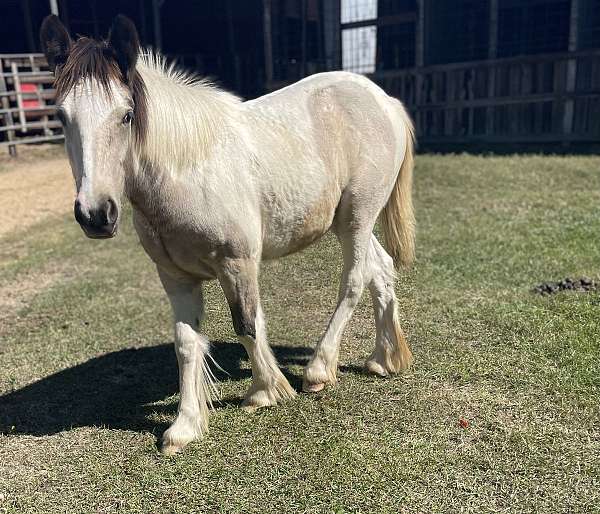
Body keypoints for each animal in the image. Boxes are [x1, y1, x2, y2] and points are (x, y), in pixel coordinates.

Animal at [39, 13, 414, 452]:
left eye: (126, 115)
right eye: (61, 117)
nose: (96, 214)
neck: (187, 170)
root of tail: (383, 100)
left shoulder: (237, 264)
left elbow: (247, 326)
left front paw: (265, 391)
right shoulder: (176, 277)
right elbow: (186, 343)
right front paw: (184, 426)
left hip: (358, 215)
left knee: (354, 280)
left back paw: (319, 370)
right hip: (349, 221)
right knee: (381, 270)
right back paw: (383, 359)